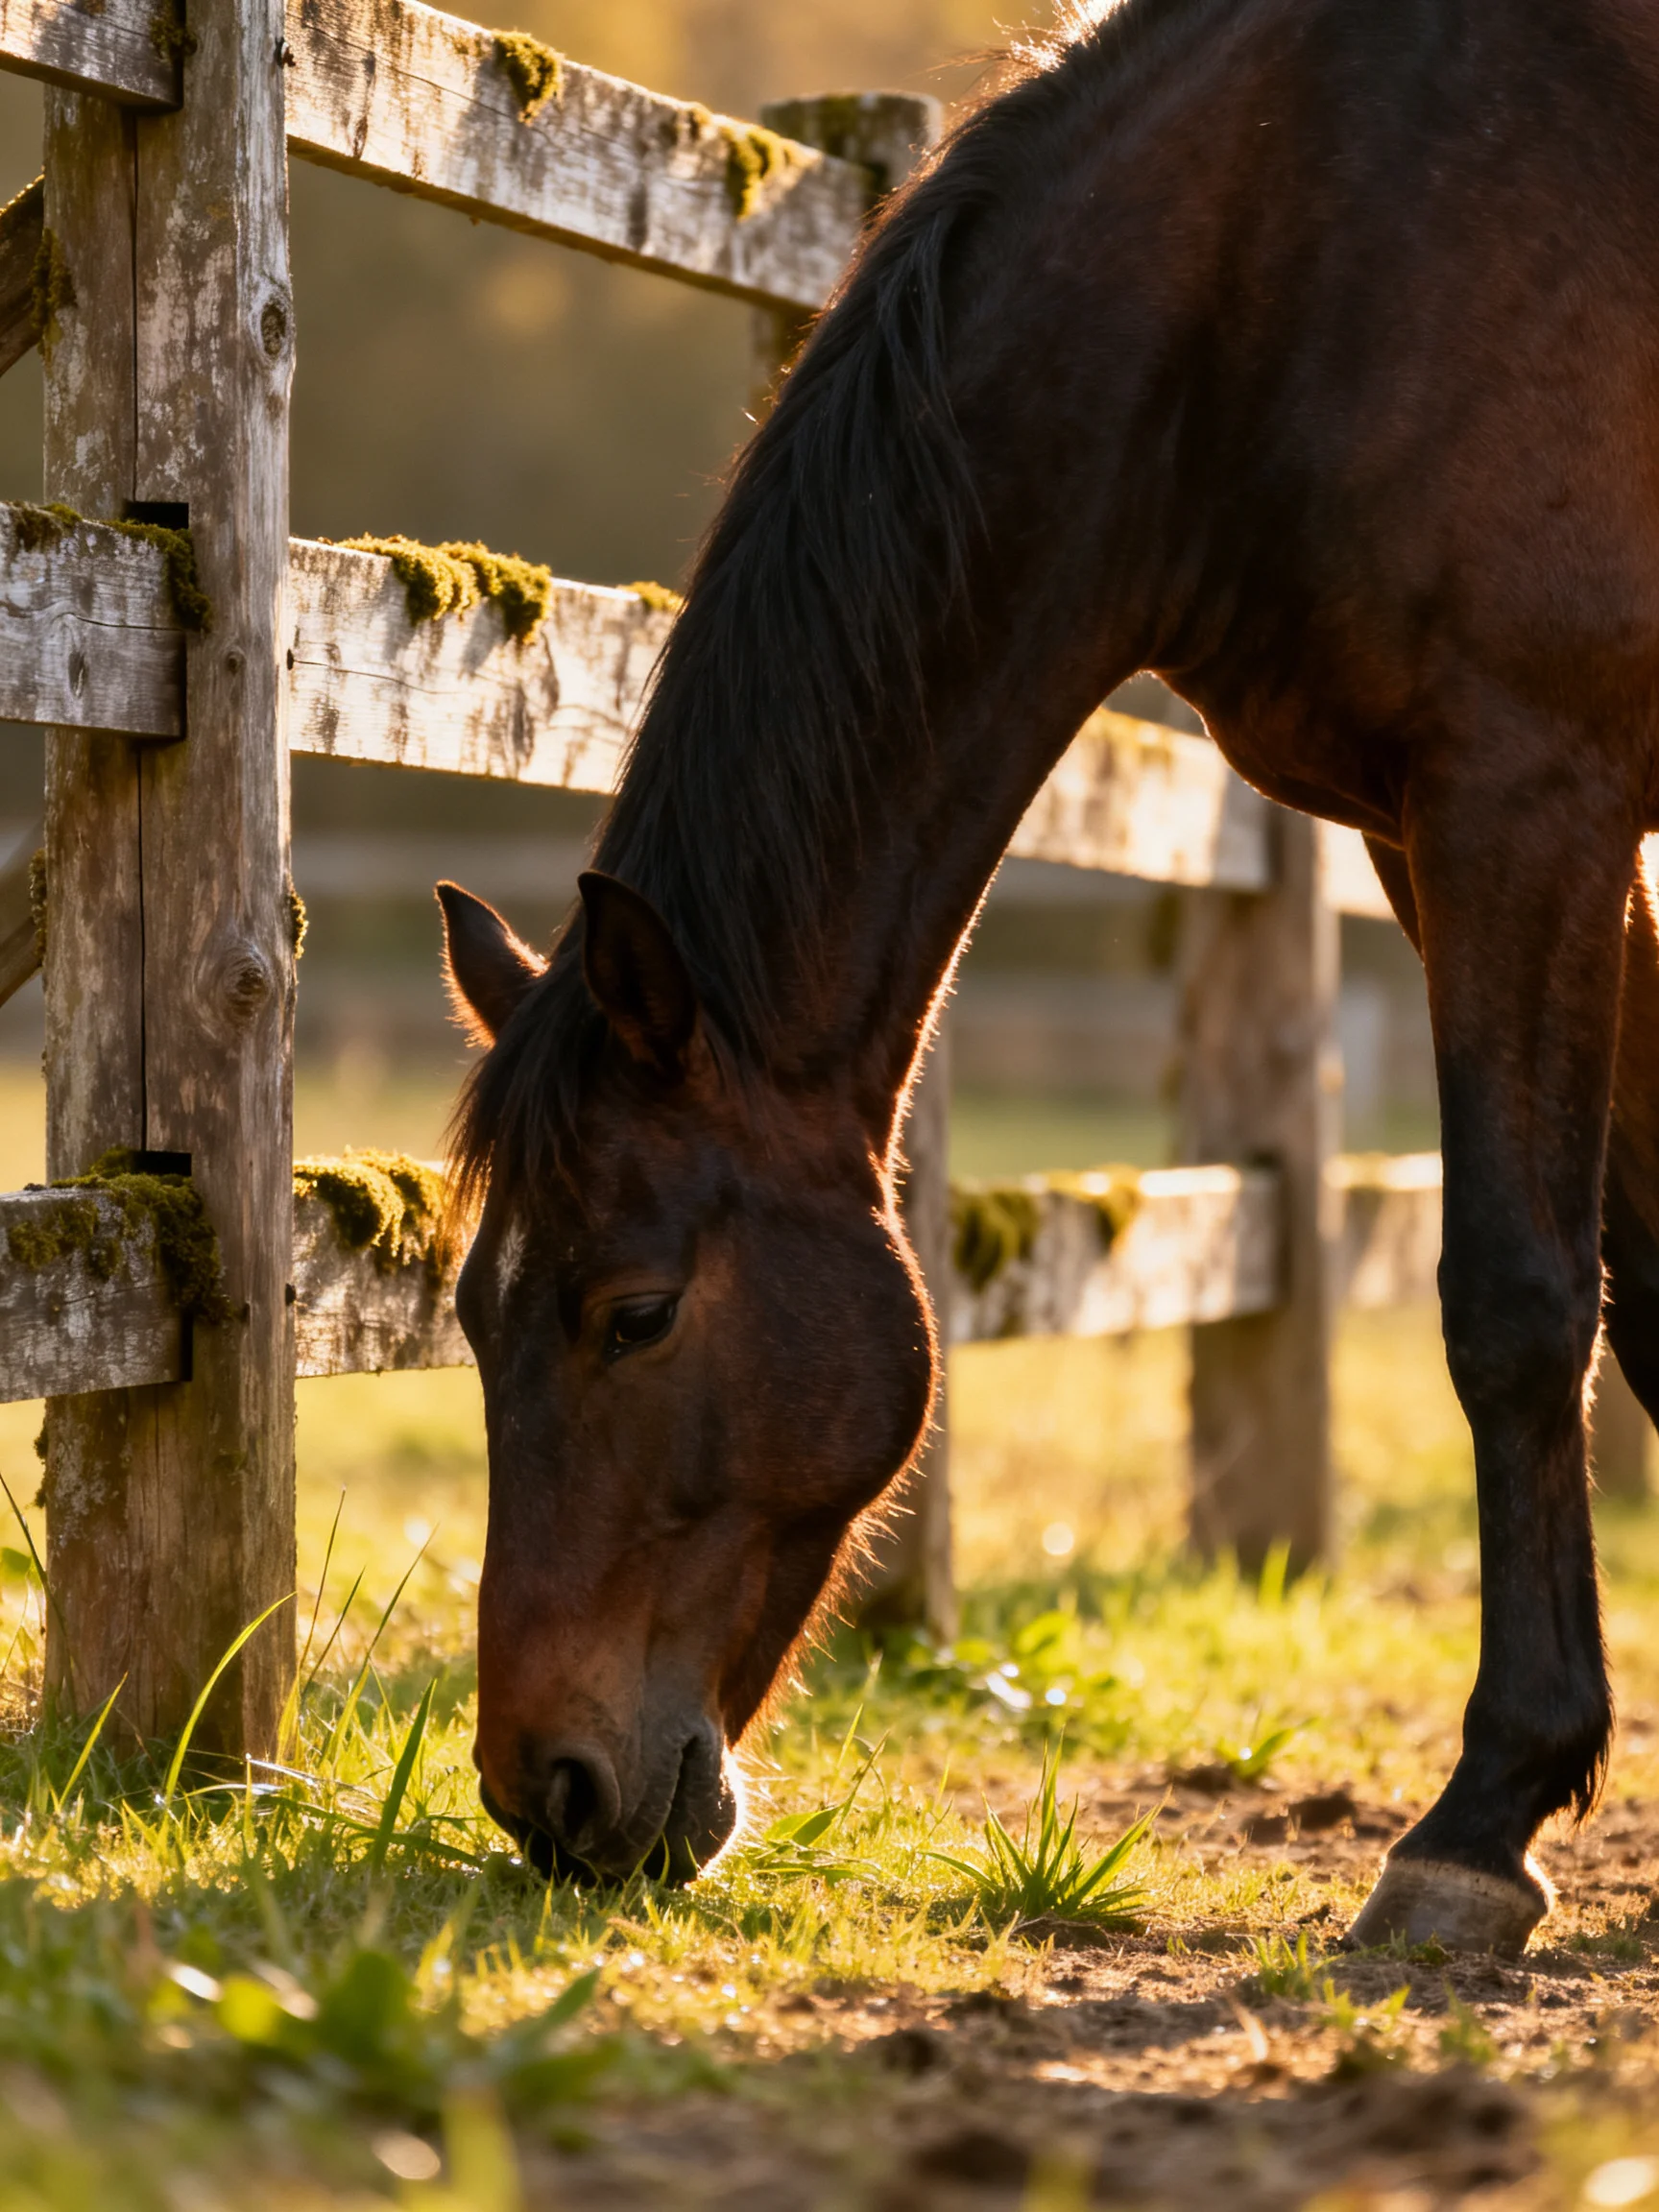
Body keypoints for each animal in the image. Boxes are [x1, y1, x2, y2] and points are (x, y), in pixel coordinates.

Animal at [435, 0, 1659, 1951]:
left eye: (635, 1313)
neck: (1287, 248)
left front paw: (1478, 1824)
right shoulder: (1450, 830)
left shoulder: (1529, 790)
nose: (548, 1793)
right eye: (477, 1318)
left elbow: (1522, 1302)